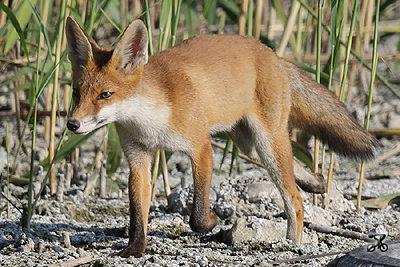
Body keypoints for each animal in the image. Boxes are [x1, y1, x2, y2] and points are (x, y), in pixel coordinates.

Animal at [65, 16, 378, 258]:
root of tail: (271, 52)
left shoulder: (201, 147)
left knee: (295, 199)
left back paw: (292, 242)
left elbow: (197, 216)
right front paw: (135, 249)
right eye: (77, 93)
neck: (149, 121)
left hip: (268, 142)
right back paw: (315, 181)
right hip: (248, 144)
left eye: (105, 95)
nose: (72, 125)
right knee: (294, 169)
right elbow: (137, 214)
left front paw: (214, 221)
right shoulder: (138, 159)